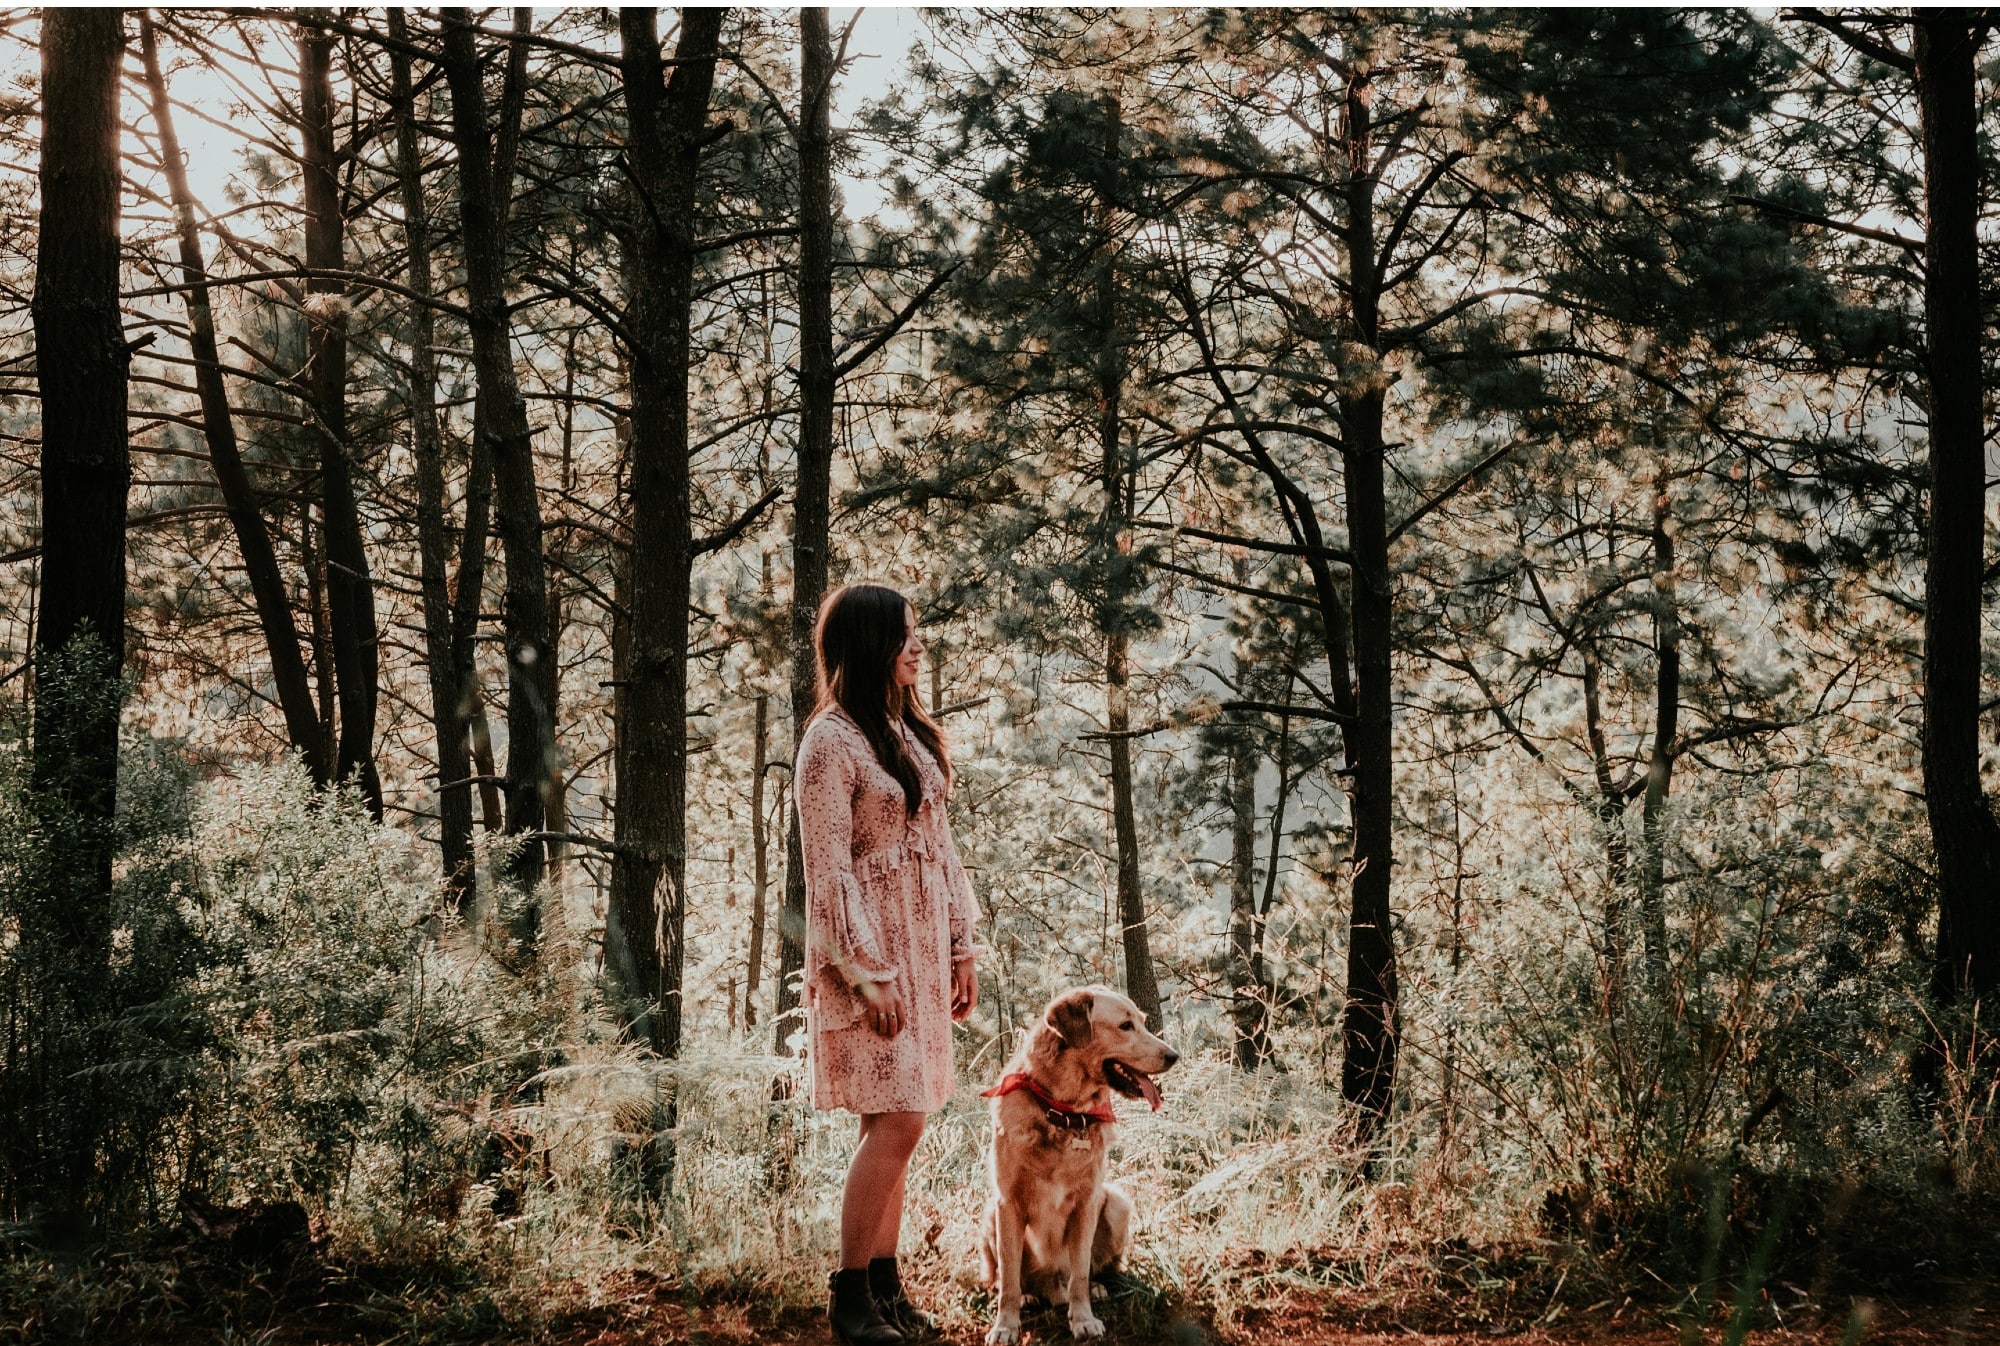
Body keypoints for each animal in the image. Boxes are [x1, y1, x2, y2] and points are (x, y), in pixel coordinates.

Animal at [980, 980, 1176, 1336]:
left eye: (1142, 1021)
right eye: (1125, 1026)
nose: (1173, 1056)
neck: (1063, 1113)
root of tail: (1051, 1286)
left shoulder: (1087, 1202)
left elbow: (1080, 1272)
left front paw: (1083, 1318)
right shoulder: (1007, 1202)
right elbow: (1009, 1278)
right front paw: (1006, 1324)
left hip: (1117, 1201)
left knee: (1090, 1271)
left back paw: (1095, 1289)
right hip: (990, 1213)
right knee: (1005, 1277)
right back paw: (1028, 1296)